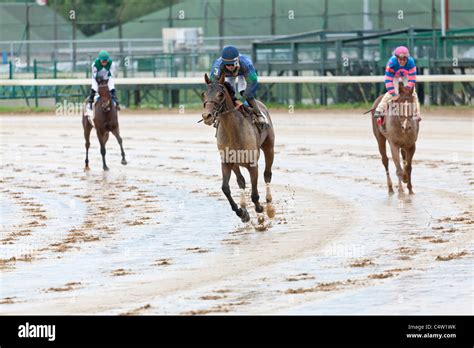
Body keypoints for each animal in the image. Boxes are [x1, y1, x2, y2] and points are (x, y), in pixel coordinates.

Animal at [202, 72, 276, 223]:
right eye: (204, 94)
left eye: (220, 94)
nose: (206, 116)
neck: (233, 131)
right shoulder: (226, 162)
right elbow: (226, 188)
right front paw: (241, 212)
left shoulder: (253, 164)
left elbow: (254, 192)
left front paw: (260, 209)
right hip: (236, 164)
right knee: (241, 181)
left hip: (269, 147)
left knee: (267, 175)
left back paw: (269, 206)